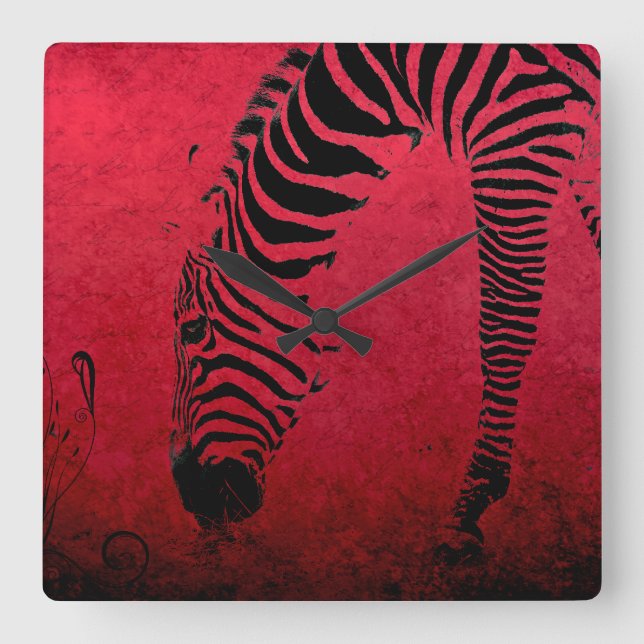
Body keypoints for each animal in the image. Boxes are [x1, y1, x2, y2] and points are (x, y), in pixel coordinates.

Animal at [170, 43, 600, 562]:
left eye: (193, 330)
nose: (193, 501)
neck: (391, 70)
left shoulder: (519, 129)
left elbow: (504, 320)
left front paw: (472, 504)